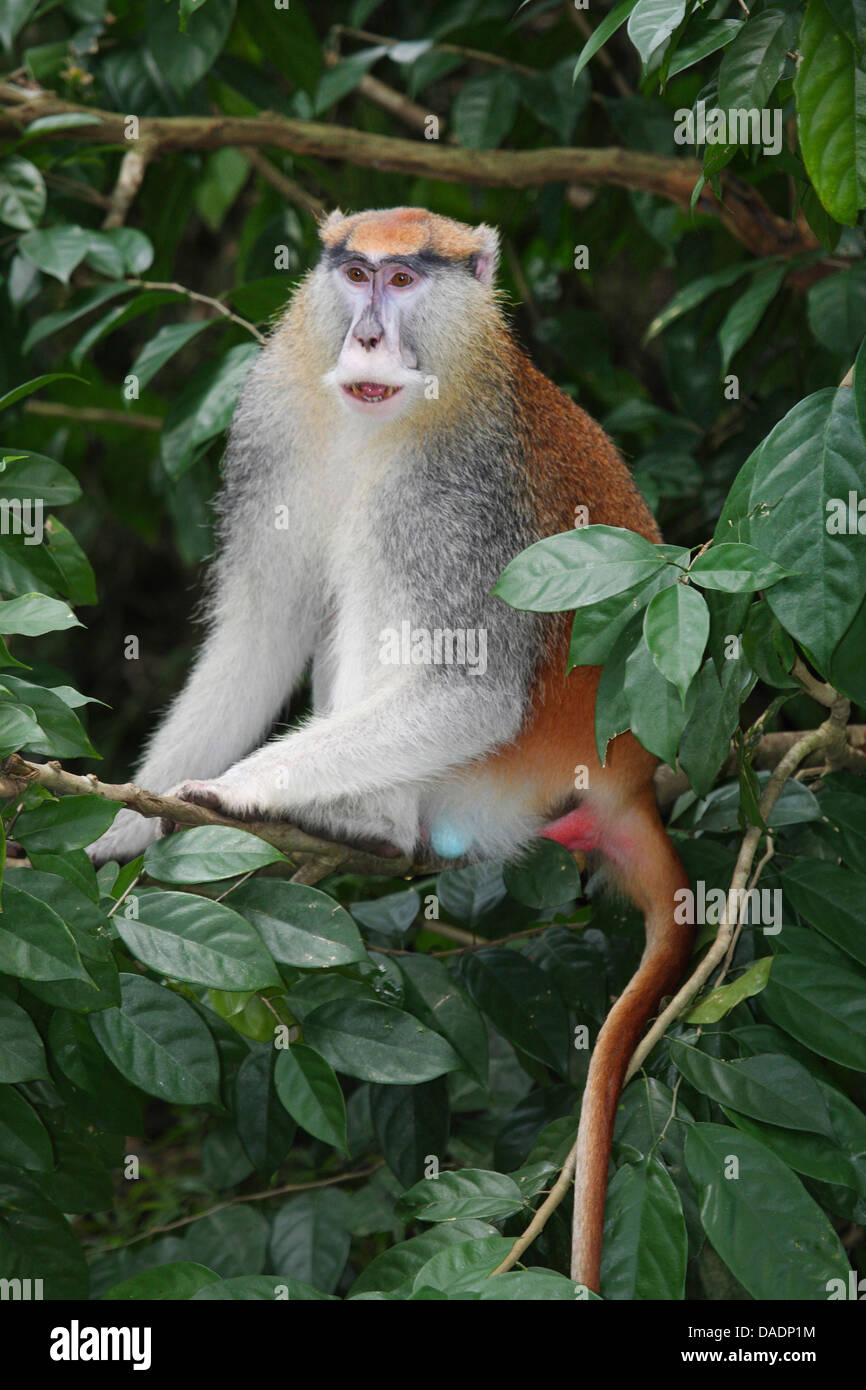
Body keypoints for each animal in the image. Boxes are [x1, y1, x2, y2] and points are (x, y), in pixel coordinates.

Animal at [88, 206, 693, 1291]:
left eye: (407, 281)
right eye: (356, 273)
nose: (368, 334)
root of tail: (624, 772)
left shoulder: (452, 489)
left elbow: (468, 688)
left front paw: (236, 791)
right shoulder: (273, 417)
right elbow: (262, 628)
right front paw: (127, 827)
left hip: (503, 779)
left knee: (377, 566)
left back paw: (366, 820)